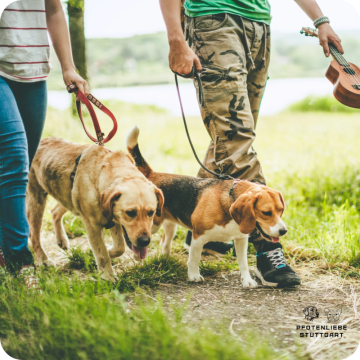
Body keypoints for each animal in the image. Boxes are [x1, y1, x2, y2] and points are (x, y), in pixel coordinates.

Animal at [27, 138, 164, 282]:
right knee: (34, 235)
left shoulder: (113, 220)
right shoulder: (92, 225)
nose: (145, 241)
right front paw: (108, 277)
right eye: (130, 213)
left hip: (68, 197)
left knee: (54, 211)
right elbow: (102, 253)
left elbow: (119, 247)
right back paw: (44, 260)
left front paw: (108, 252)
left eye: (151, 212)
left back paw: (61, 240)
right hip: (36, 199)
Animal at [126, 126, 286, 286]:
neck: (227, 202)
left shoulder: (241, 239)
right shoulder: (198, 237)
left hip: (170, 225)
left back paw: (165, 262)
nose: (283, 231)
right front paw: (193, 275)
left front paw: (247, 280)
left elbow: (244, 263)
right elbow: (194, 259)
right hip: (152, 224)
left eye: (281, 210)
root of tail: (152, 174)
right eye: (266, 212)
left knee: (164, 243)